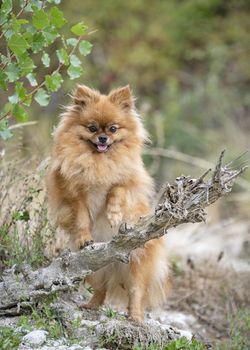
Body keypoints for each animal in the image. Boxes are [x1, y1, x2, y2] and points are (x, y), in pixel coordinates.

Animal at [46, 85, 171, 322]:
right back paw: (91, 306)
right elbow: (82, 216)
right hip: (92, 267)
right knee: (101, 289)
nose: (103, 138)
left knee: (136, 291)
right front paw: (85, 237)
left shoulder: (128, 182)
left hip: (135, 263)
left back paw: (135, 316)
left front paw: (114, 214)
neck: (99, 161)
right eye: (92, 128)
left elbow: (116, 190)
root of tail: (112, 263)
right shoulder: (74, 194)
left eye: (113, 129)